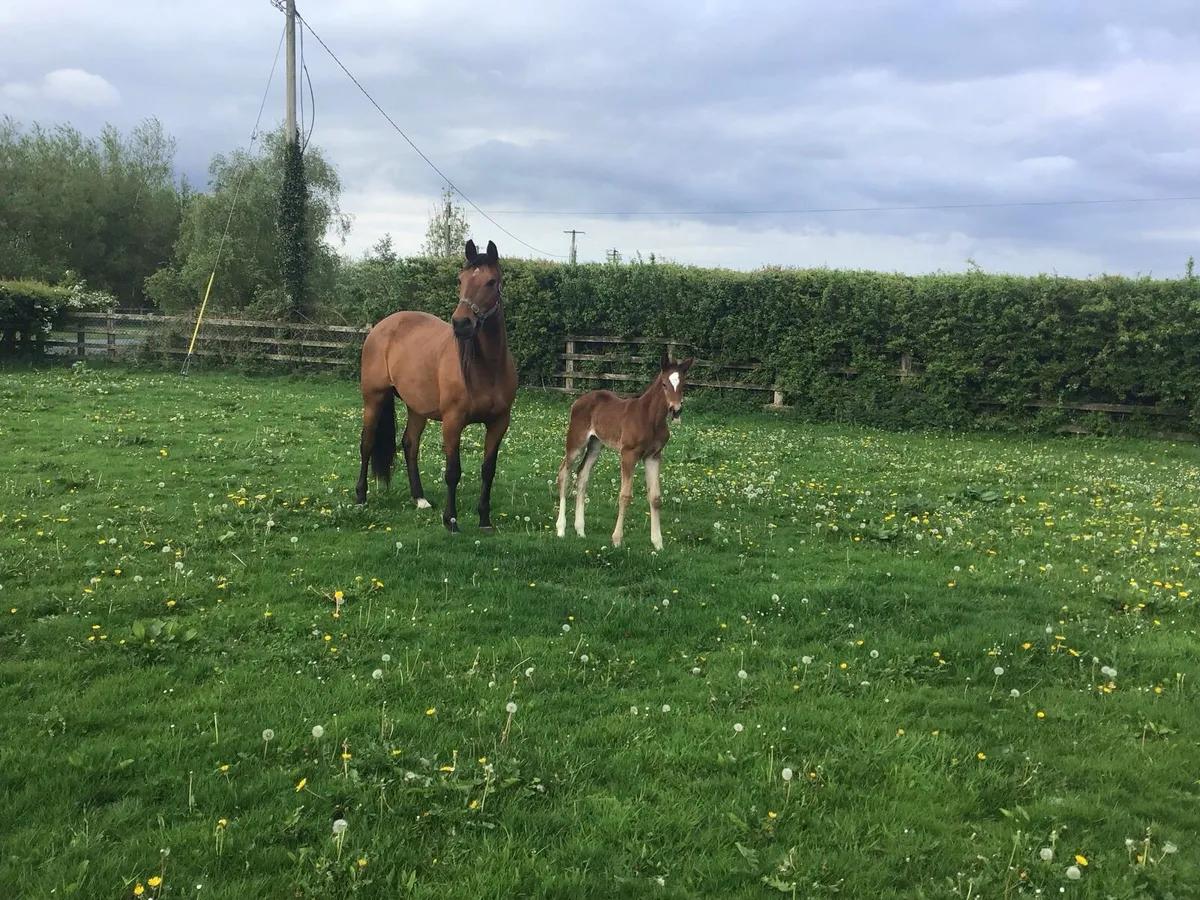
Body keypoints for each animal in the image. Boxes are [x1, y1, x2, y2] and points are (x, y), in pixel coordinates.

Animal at [355, 239, 518, 533]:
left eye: (491, 282)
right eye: (460, 279)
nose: (461, 323)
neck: (486, 368)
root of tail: (381, 326)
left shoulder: (499, 422)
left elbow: (488, 470)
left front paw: (484, 520)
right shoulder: (453, 421)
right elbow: (453, 471)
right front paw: (451, 520)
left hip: (416, 407)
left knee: (410, 444)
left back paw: (419, 498)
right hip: (374, 398)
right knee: (367, 442)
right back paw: (361, 496)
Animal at [555, 348, 694, 550]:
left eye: (683, 384)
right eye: (664, 384)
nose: (675, 410)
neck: (650, 418)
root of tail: (579, 400)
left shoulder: (653, 456)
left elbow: (655, 497)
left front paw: (658, 543)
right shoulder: (628, 454)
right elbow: (625, 495)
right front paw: (617, 539)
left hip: (595, 445)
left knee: (582, 474)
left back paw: (580, 531)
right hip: (576, 442)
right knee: (564, 473)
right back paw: (561, 529)